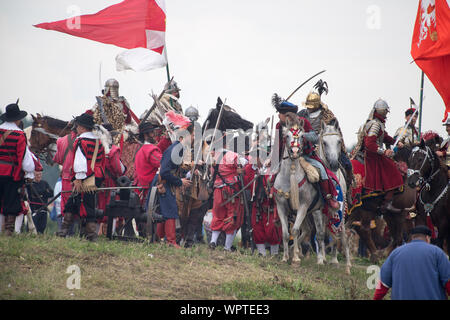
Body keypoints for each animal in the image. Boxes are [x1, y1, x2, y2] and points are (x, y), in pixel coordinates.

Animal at [274, 115, 326, 264]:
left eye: (302, 136)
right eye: (287, 135)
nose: (295, 151)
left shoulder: (303, 206)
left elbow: (295, 231)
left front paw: (296, 258)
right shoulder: (281, 206)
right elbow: (286, 233)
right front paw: (286, 257)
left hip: (320, 211)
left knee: (322, 234)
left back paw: (323, 260)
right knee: (308, 230)